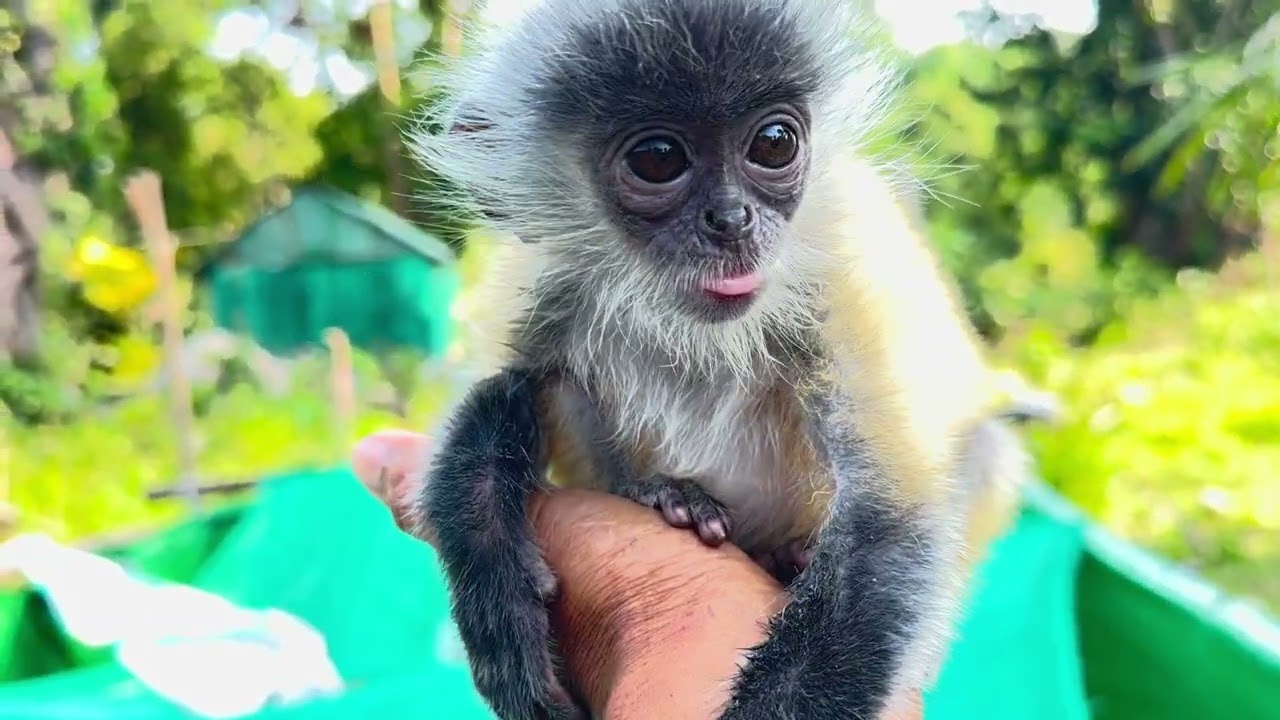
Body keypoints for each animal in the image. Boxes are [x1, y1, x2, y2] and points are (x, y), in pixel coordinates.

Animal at [406, 1, 1047, 718]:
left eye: (773, 143)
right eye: (658, 159)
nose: (733, 220)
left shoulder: (840, 275)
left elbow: (886, 527)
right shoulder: (542, 277)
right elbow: (497, 392)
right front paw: (499, 606)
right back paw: (667, 496)